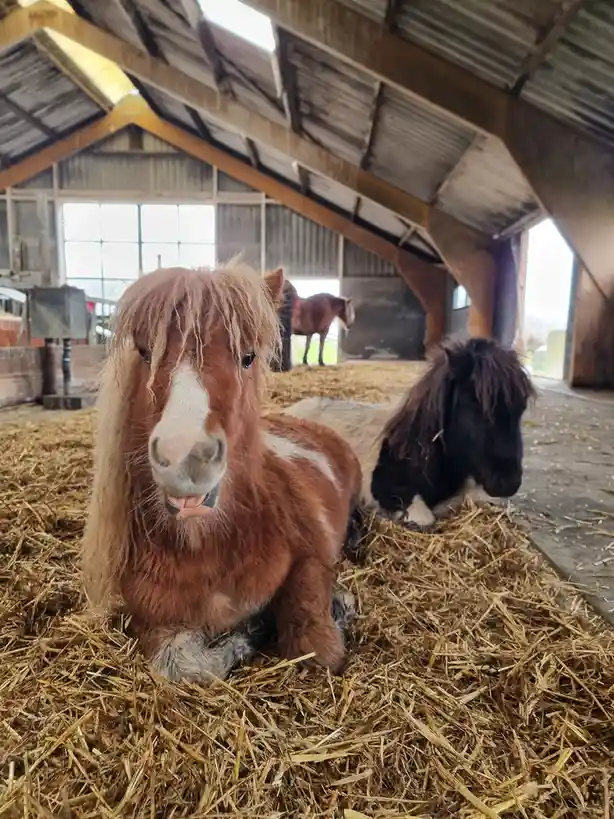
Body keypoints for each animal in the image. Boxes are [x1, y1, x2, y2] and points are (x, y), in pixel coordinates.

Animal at [81, 262, 365, 683]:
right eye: (146, 352)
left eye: (248, 357)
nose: (184, 457)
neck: (206, 544)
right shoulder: (153, 620)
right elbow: (180, 665)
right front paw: (249, 632)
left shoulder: (312, 555)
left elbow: (316, 648)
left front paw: (339, 605)